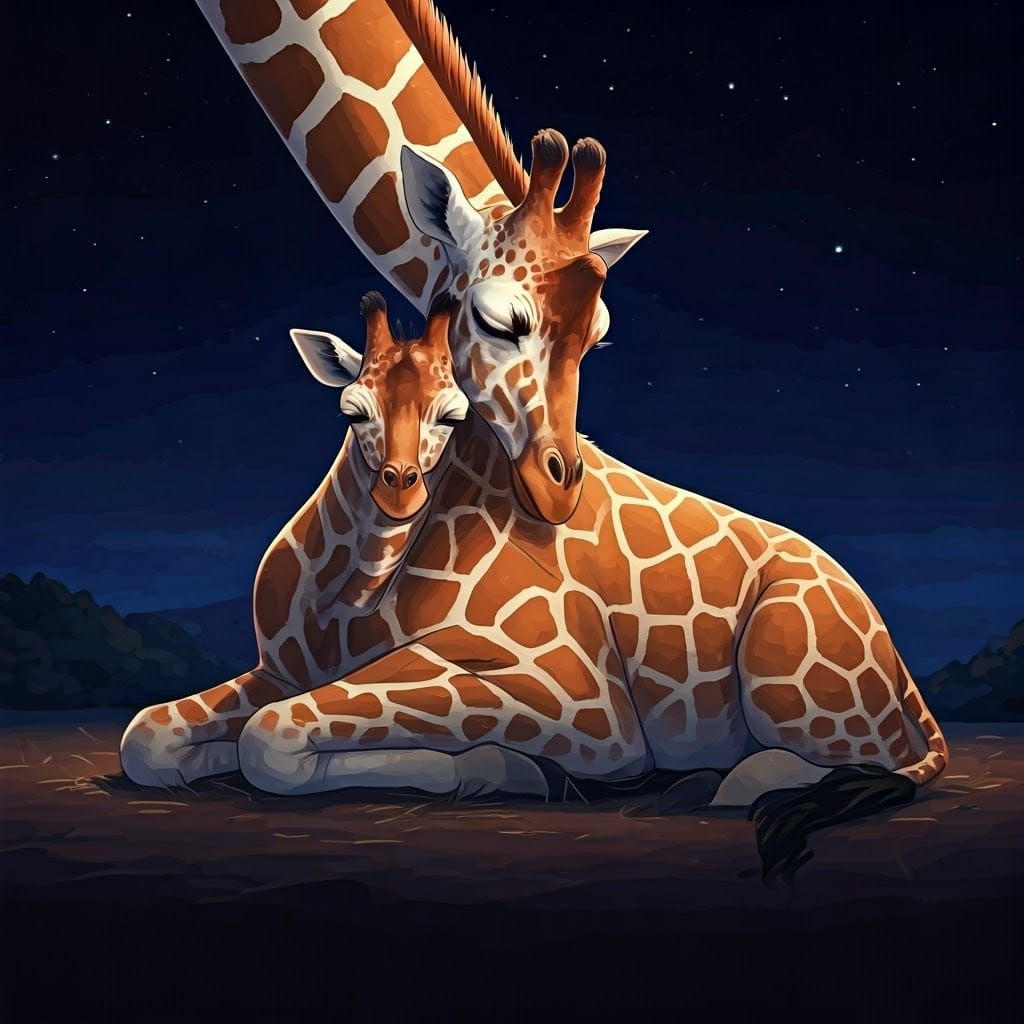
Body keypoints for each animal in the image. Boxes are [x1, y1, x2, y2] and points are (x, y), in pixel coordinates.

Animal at [120, 290, 470, 786]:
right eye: (353, 411)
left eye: (452, 417)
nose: (399, 491)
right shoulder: (279, 674)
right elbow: (145, 737)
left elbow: (266, 744)